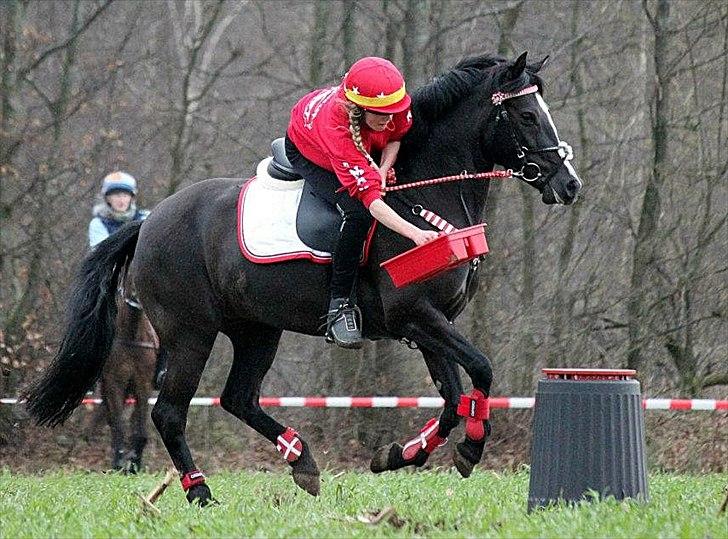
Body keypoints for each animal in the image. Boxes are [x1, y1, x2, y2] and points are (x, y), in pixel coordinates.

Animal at [25, 52, 580, 504]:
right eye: (528, 116)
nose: (569, 184)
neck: (424, 197)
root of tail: (150, 221)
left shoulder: (428, 325)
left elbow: (450, 398)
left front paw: (402, 454)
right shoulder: (416, 316)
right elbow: (481, 370)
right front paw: (469, 450)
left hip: (256, 329)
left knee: (238, 398)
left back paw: (302, 461)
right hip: (189, 334)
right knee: (170, 413)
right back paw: (200, 491)